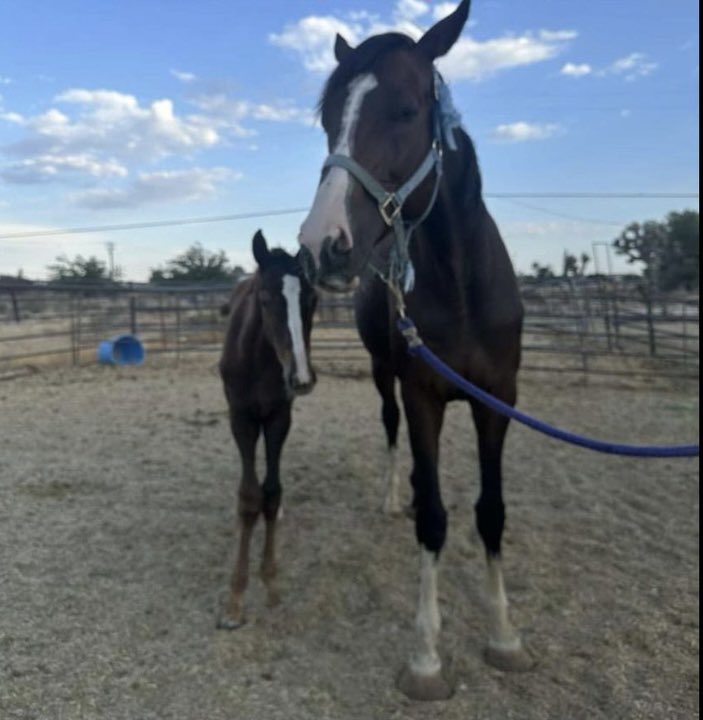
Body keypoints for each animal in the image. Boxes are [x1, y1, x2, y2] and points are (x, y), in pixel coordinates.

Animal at [298, 0, 531, 701]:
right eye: (329, 119)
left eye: (405, 110)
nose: (322, 245)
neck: (460, 282)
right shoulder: (422, 393)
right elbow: (432, 516)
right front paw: (426, 657)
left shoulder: (497, 400)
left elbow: (490, 513)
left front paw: (504, 637)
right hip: (383, 372)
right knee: (389, 428)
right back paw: (388, 496)